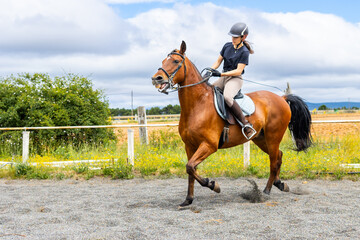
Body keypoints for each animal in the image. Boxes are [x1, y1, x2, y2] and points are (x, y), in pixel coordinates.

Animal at [150, 41, 310, 206]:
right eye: (163, 61)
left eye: (176, 61)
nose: (156, 78)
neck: (197, 105)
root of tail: (282, 98)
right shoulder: (189, 146)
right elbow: (190, 170)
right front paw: (188, 199)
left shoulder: (209, 145)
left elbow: (190, 168)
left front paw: (213, 185)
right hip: (260, 138)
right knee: (278, 155)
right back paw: (280, 184)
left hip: (273, 137)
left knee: (273, 161)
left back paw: (266, 191)